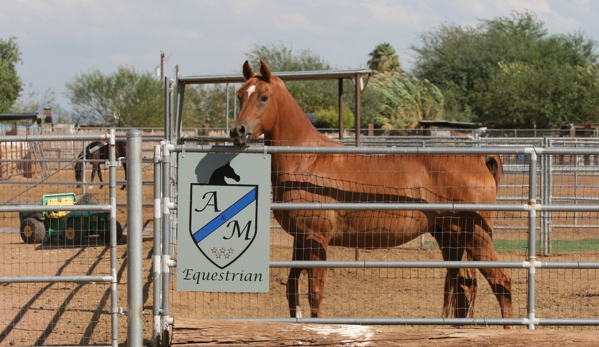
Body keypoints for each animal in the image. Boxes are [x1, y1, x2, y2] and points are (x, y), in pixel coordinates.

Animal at [230, 59, 516, 324]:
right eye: (241, 95)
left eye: (264, 97)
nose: (237, 131)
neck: (307, 161)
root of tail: (479, 159)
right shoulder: (300, 239)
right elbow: (292, 288)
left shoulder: (315, 240)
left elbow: (315, 293)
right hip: (450, 239)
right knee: (465, 287)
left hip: (475, 237)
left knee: (501, 281)